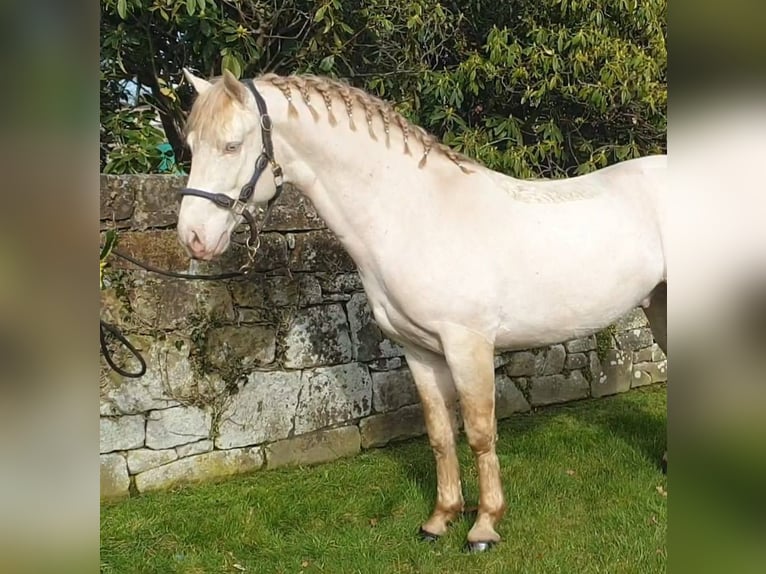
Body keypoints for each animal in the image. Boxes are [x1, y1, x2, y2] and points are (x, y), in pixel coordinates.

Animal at [176, 67, 664, 552]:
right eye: (192, 145)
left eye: (232, 145)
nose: (193, 237)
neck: (416, 215)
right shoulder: (419, 351)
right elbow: (440, 434)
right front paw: (440, 518)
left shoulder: (468, 345)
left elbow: (480, 434)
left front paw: (484, 526)